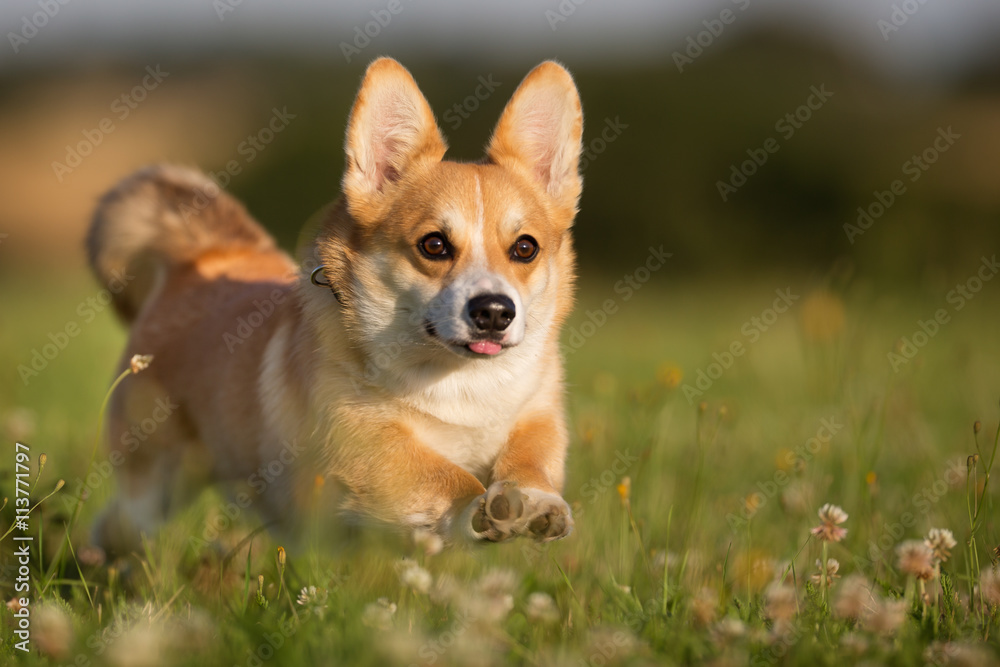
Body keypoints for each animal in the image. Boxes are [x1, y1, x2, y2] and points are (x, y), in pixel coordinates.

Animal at [89, 58, 584, 560]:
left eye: (525, 248)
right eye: (434, 245)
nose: (495, 312)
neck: (459, 380)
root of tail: (204, 256)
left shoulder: (538, 415)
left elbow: (532, 458)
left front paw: (536, 501)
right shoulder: (366, 444)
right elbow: (444, 475)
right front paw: (479, 507)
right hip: (157, 480)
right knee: (121, 522)